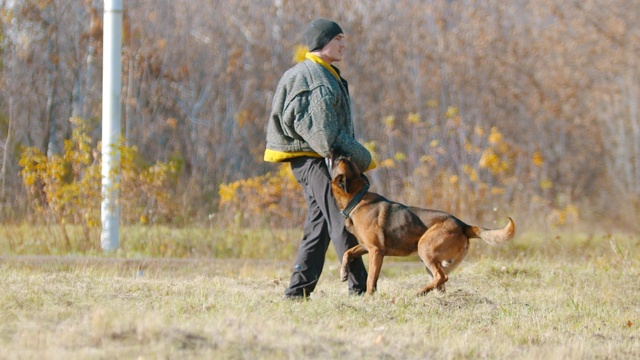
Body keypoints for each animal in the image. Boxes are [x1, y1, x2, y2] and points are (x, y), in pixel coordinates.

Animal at [330, 155, 516, 296]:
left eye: (339, 163)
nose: (338, 154)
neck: (357, 199)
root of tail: (462, 224)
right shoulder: (364, 246)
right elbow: (348, 252)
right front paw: (343, 272)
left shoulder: (375, 250)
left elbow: (370, 280)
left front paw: (369, 298)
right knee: (440, 281)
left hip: (424, 248)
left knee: (441, 277)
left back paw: (421, 292)